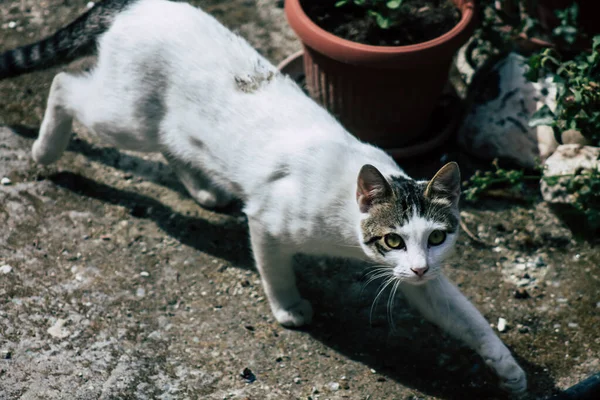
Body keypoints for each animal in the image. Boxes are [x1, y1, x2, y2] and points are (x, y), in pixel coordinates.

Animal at [0, 0, 524, 394]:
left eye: (436, 238)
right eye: (393, 239)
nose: (417, 266)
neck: (345, 225)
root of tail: (137, 4)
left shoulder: (420, 281)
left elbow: (466, 317)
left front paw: (508, 369)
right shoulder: (268, 221)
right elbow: (275, 268)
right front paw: (288, 307)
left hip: (162, 125)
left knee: (170, 143)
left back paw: (203, 189)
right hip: (125, 118)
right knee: (64, 86)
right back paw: (45, 148)